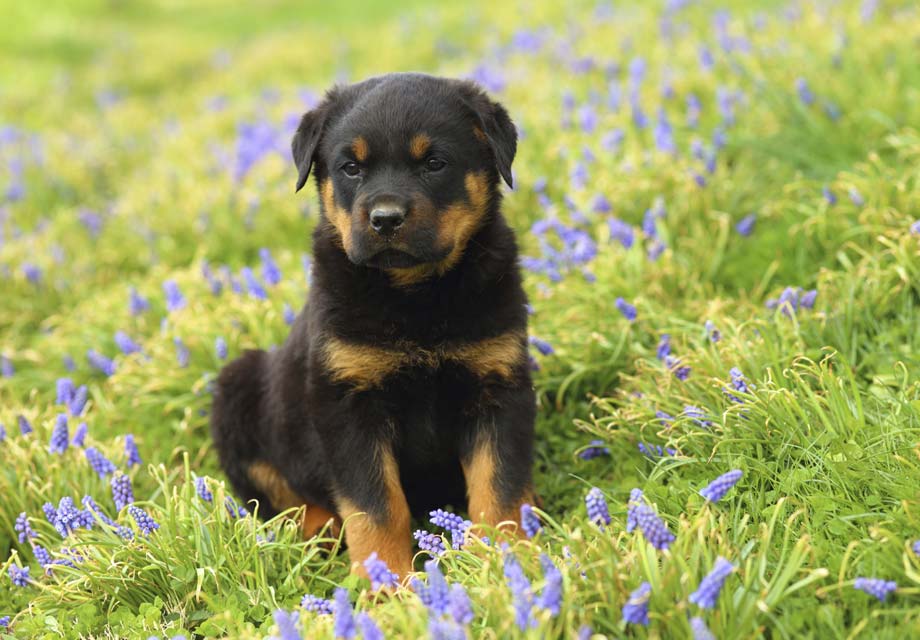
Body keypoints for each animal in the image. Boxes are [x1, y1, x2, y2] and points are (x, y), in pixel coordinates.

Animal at [211, 71, 536, 580]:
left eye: (434, 163)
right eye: (350, 168)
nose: (385, 218)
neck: (415, 295)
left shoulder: (498, 384)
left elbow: (498, 487)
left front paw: (507, 561)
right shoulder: (349, 403)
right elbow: (377, 506)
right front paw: (388, 583)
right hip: (237, 391)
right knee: (279, 499)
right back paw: (321, 534)